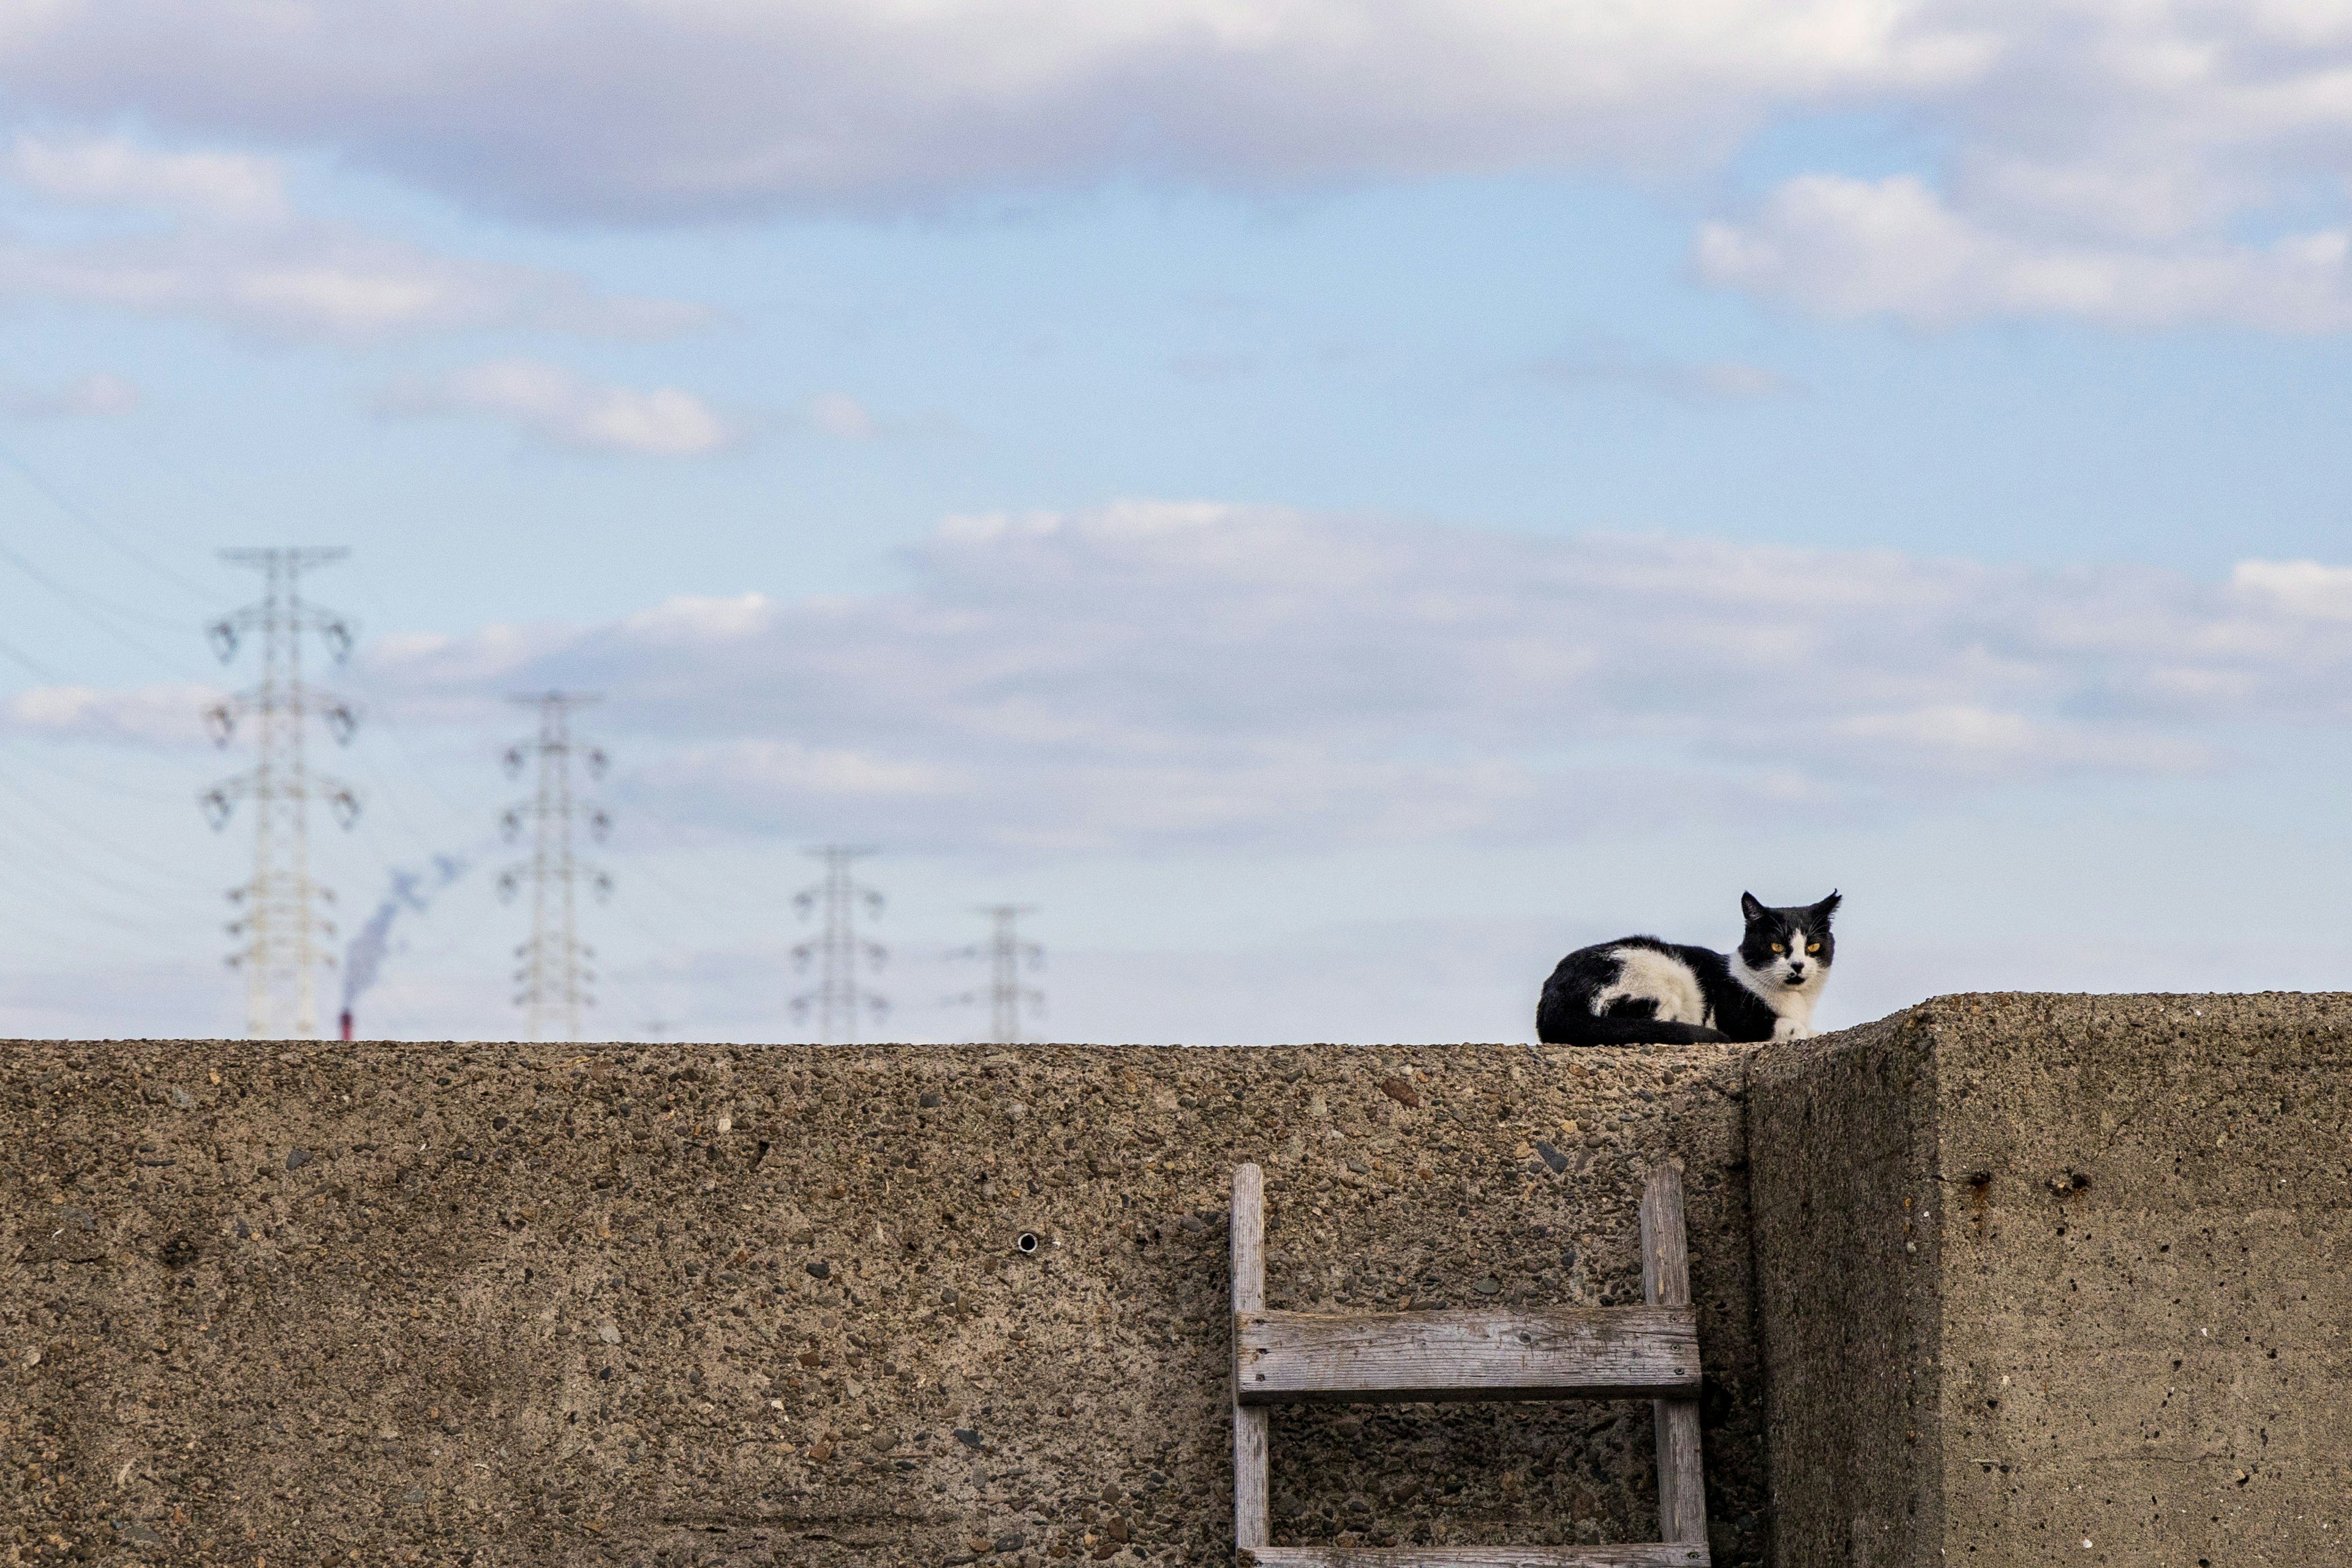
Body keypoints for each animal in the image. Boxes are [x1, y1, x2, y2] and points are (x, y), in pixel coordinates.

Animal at [1533, 888, 1844, 1048]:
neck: (1798, 1002)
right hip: (1660, 973)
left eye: (1813, 947)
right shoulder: (1736, 1017)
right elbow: (1792, 1028)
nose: (1798, 965)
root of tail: (1552, 1000)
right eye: (1777, 947)